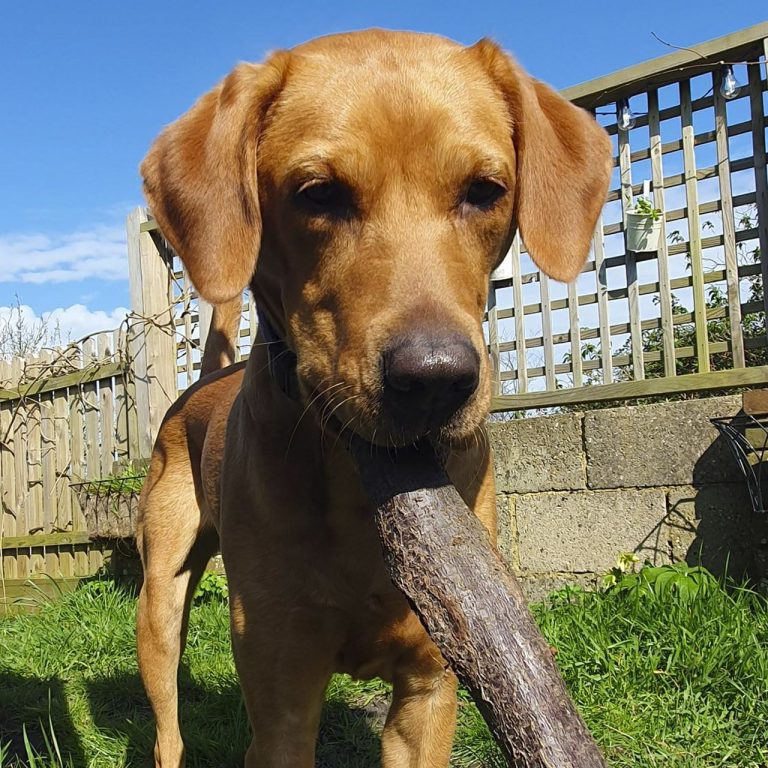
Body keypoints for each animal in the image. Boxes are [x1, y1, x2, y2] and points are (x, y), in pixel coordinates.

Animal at [135, 30, 608, 768]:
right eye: (318, 194)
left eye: (485, 191)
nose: (435, 379)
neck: (356, 492)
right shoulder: (282, 699)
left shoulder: (431, 688)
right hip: (159, 602)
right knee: (168, 726)